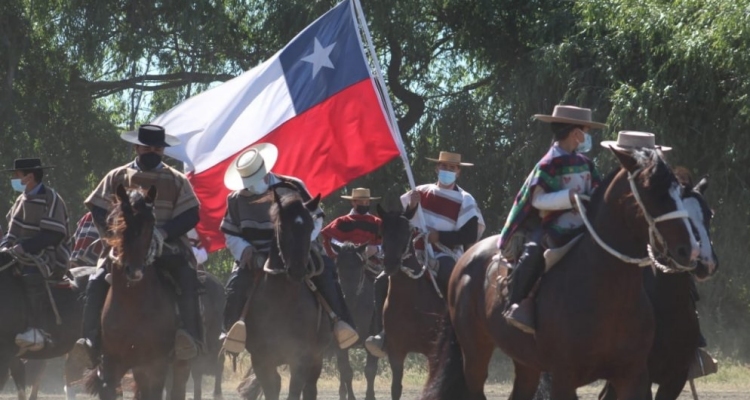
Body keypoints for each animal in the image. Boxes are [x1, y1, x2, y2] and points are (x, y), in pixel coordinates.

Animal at [241, 189, 328, 400]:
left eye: (310, 226)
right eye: (282, 226)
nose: (297, 270)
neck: (283, 302)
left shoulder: (301, 359)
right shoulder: (261, 360)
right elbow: (271, 390)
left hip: (317, 359)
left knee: (310, 389)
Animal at [376, 205, 446, 400]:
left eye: (407, 231)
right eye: (382, 231)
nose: (390, 264)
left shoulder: (433, 351)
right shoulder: (396, 351)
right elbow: (396, 388)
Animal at [424, 148, 700, 400]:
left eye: (678, 192)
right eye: (650, 191)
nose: (689, 249)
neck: (608, 294)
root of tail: (466, 258)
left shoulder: (633, 376)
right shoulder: (563, 377)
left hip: (526, 362)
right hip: (474, 353)